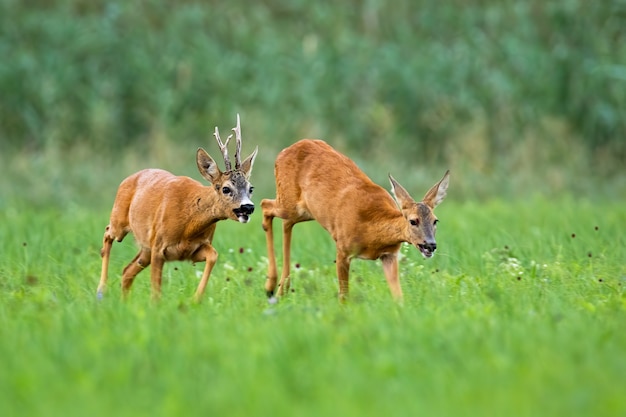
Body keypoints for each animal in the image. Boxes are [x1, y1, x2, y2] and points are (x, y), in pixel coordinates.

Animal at [96, 115, 258, 300]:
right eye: (226, 188)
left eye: (251, 188)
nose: (248, 207)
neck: (189, 225)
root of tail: (127, 179)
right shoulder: (158, 247)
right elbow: (156, 291)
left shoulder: (193, 249)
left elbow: (214, 256)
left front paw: (196, 298)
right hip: (120, 221)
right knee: (108, 233)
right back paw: (101, 290)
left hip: (145, 249)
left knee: (126, 271)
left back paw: (124, 302)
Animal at [260, 139, 446, 300]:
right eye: (413, 221)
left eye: (435, 221)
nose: (430, 244)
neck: (371, 230)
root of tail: (283, 152)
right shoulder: (343, 249)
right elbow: (344, 296)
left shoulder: (389, 255)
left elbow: (398, 297)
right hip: (289, 202)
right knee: (265, 205)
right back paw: (270, 286)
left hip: (304, 212)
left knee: (285, 222)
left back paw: (280, 289)